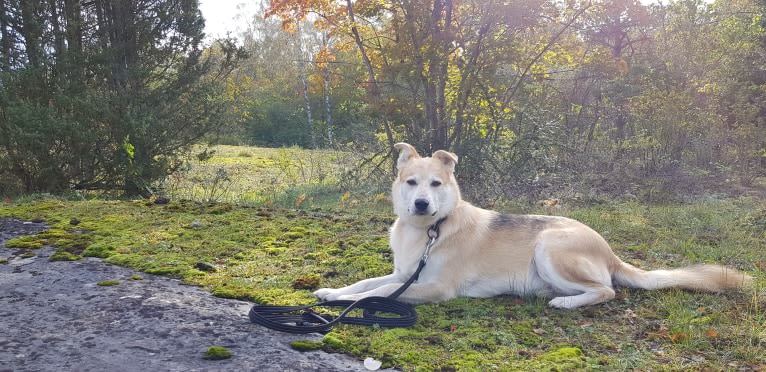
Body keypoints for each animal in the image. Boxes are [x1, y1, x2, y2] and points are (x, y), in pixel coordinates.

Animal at [314, 142, 756, 308]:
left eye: (436, 184)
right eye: (411, 183)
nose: (422, 203)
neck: (429, 229)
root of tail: (609, 250)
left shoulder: (434, 287)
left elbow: (379, 292)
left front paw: (347, 302)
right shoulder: (404, 274)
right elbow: (367, 283)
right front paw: (333, 292)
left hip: (549, 247)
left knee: (606, 291)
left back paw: (566, 302)